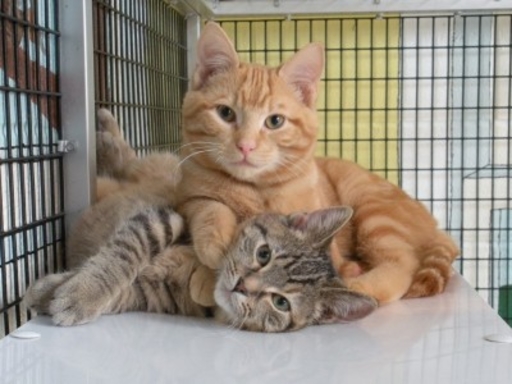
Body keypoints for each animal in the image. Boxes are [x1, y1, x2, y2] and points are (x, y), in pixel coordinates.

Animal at [24, 109, 376, 332]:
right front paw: (81, 292)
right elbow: (124, 254)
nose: (243, 286)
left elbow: (124, 291)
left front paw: (61, 292)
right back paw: (107, 131)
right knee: (131, 162)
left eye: (281, 303)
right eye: (263, 254)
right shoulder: (167, 216)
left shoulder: (152, 297)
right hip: (160, 169)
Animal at [174, 23, 458, 306]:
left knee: (403, 264)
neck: (256, 188)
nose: (246, 145)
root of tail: (436, 226)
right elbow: (209, 207)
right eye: (225, 113)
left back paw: (357, 286)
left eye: (275, 121)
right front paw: (214, 251)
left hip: (373, 209)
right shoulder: (188, 196)